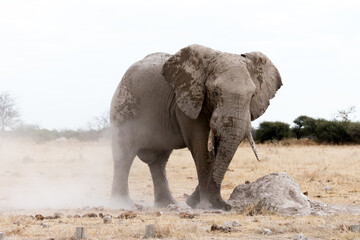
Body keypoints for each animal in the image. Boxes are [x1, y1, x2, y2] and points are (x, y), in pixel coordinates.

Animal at [109, 43, 282, 210]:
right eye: (215, 93)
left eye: (252, 96)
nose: (225, 206)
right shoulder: (187, 102)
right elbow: (203, 149)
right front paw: (206, 206)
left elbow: (216, 152)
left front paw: (195, 203)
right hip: (123, 106)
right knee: (124, 155)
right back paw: (122, 204)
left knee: (159, 160)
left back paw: (167, 204)